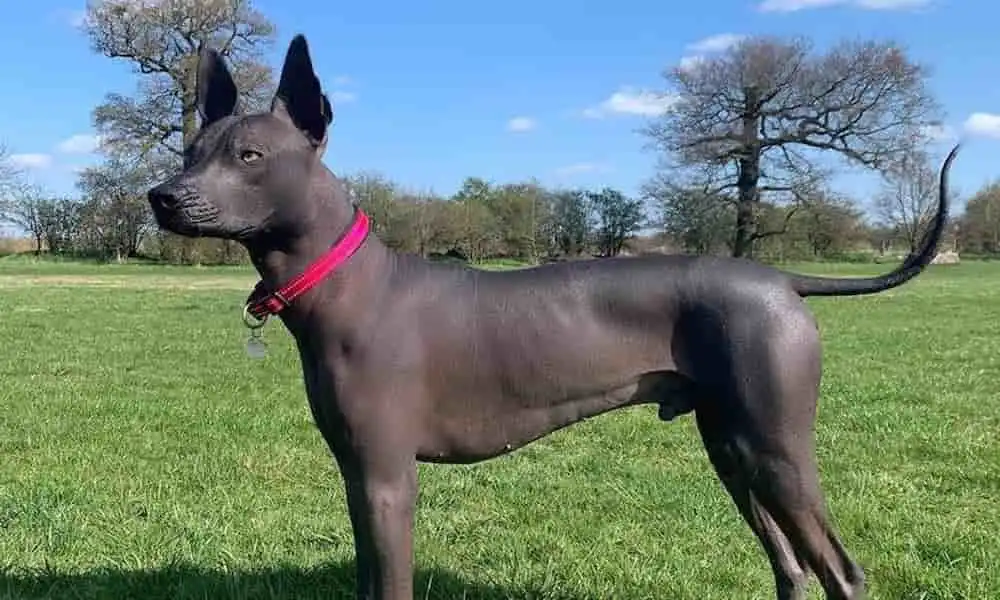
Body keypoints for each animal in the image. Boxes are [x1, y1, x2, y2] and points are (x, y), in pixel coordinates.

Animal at [146, 34, 960, 600]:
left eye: (250, 156)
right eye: (192, 151)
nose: (162, 196)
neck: (352, 285)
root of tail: (778, 279)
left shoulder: (387, 479)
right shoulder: (355, 475)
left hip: (776, 448)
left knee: (841, 572)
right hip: (730, 447)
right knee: (792, 567)